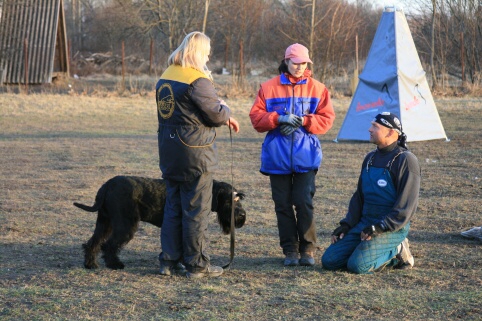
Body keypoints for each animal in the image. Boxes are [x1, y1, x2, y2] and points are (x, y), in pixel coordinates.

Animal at [73, 176, 247, 268]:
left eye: (238, 199)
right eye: (228, 201)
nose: (242, 215)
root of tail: (107, 185)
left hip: (105, 222)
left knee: (93, 242)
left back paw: (90, 264)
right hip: (125, 224)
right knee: (108, 245)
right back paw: (115, 264)